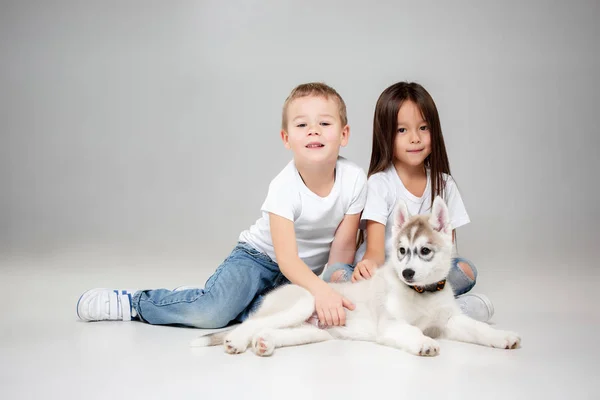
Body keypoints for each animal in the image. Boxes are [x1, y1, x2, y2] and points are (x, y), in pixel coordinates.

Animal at [191, 197, 520, 356]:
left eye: (425, 251)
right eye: (402, 250)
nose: (407, 272)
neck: (422, 294)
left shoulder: (450, 322)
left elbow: (479, 329)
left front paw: (504, 337)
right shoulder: (391, 324)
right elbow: (412, 332)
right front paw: (424, 344)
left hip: (313, 331)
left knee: (268, 330)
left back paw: (264, 344)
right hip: (304, 302)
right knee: (251, 323)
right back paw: (235, 341)